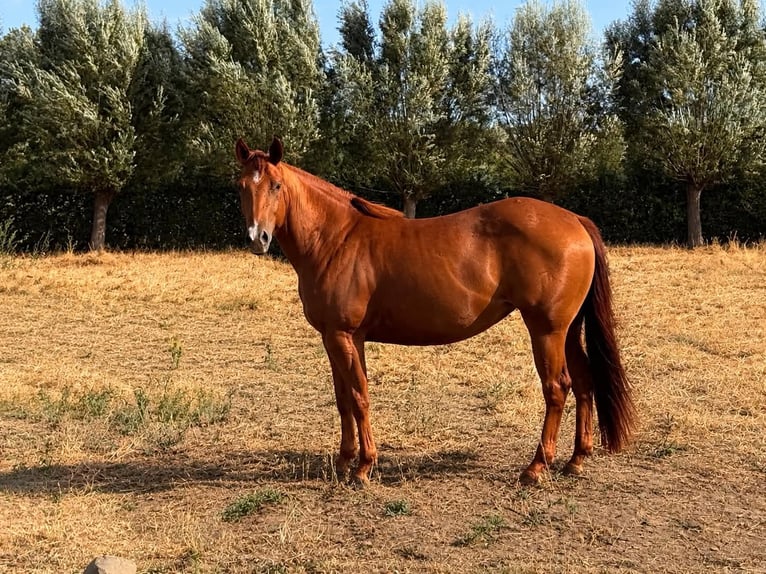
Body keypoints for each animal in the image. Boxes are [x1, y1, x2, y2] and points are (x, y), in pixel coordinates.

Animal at [234, 136, 635, 485]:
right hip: (567, 330)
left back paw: (536, 467)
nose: (258, 238)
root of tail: (574, 220)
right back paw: (576, 460)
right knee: (584, 382)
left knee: (557, 388)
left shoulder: (342, 336)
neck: (336, 239)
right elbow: (344, 399)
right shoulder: (340, 339)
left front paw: (363, 467)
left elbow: (359, 397)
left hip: (546, 330)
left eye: (275, 186)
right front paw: (344, 461)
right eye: (241, 186)